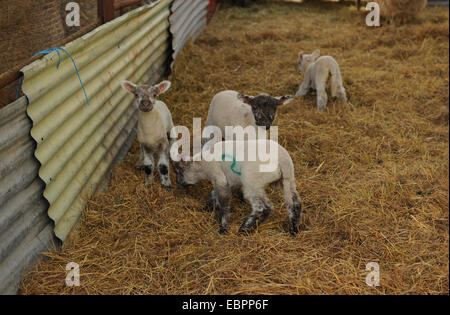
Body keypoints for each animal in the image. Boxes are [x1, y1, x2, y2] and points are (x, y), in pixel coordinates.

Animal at [172, 139, 302, 236]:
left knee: (264, 208)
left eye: (178, 170)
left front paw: (223, 228)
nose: (178, 183)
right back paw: (294, 229)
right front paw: (207, 208)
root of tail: (282, 160)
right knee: (295, 203)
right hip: (288, 180)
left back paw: (245, 229)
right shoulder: (229, 181)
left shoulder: (219, 179)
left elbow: (223, 204)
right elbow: (213, 193)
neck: (202, 166)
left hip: (252, 182)